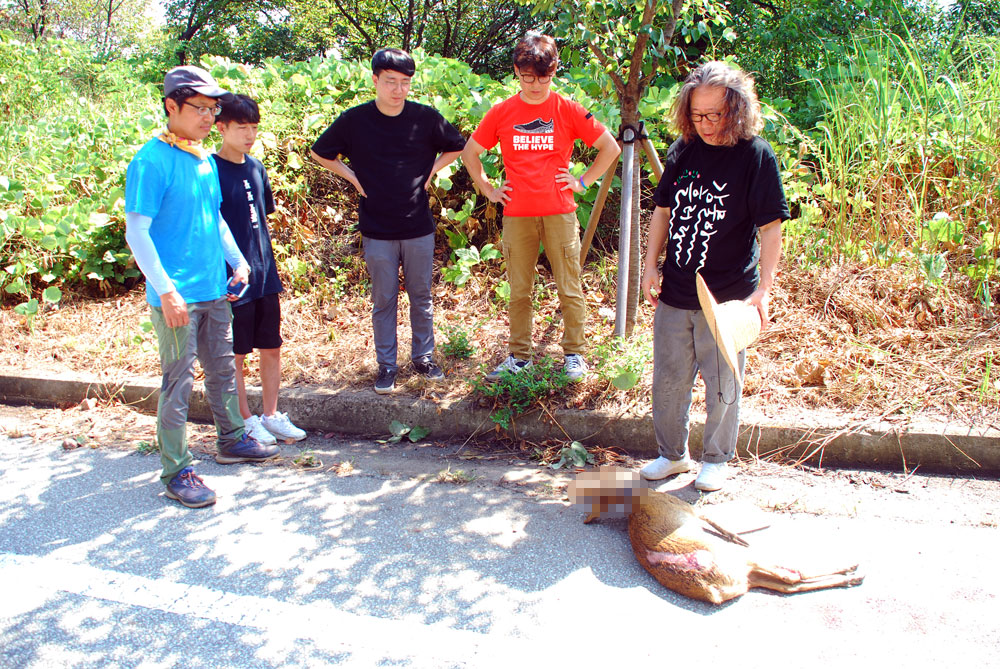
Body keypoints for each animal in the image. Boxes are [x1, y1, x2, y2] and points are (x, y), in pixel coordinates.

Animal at [576, 468, 864, 604]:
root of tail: (714, 589)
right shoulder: (689, 510)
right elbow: (714, 520)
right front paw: (739, 533)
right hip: (740, 560)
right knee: (790, 575)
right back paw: (852, 570)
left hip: (748, 576)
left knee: (786, 585)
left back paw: (850, 578)